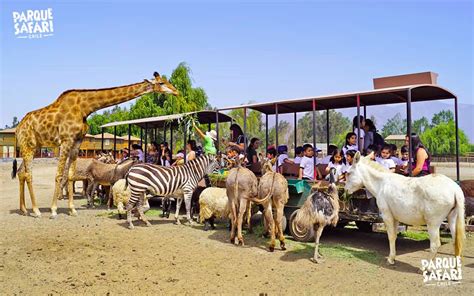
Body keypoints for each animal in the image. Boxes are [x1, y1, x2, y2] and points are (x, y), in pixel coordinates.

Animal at [11, 72, 178, 219]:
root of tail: (18, 129)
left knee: (21, 173)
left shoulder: (76, 141)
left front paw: (72, 210)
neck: (85, 107)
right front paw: (53, 211)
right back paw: (36, 210)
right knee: (28, 175)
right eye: (161, 82)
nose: (176, 91)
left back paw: (24, 209)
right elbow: (59, 175)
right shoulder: (65, 140)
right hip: (28, 146)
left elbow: (70, 176)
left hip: (34, 147)